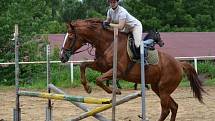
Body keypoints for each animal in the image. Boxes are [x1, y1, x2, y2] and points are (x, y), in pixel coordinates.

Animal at [60, 18, 205, 120]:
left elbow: (99, 79)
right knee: (174, 106)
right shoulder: (102, 65)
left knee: (166, 109)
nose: (62, 57)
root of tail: (179, 64)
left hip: (164, 89)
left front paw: (115, 91)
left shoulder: (118, 71)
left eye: (71, 37)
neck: (108, 43)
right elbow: (84, 65)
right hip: (157, 88)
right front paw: (87, 88)